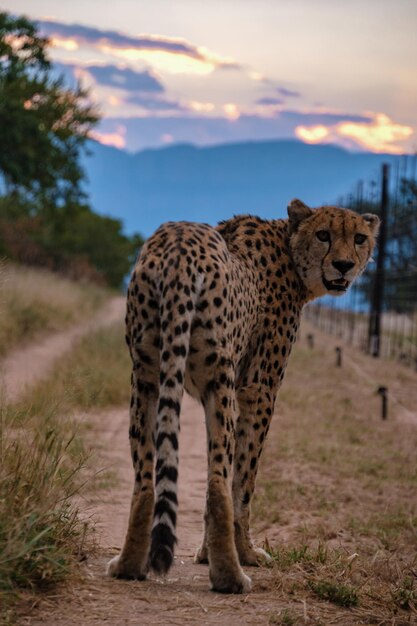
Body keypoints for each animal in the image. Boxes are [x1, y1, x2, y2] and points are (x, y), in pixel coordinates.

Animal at [106, 199, 376, 588]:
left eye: (359, 238)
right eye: (324, 234)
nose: (344, 265)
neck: (290, 247)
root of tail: (178, 242)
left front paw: (206, 552)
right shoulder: (259, 390)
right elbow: (243, 482)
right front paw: (243, 552)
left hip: (145, 377)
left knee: (145, 481)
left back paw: (128, 565)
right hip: (219, 380)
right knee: (219, 482)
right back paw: (231, 577)